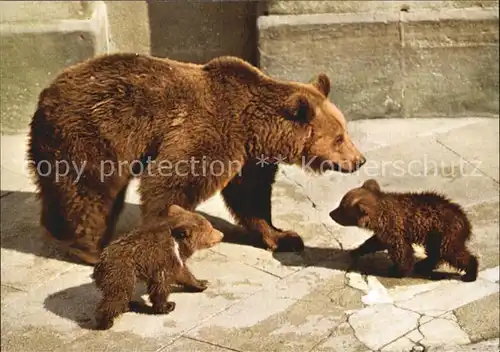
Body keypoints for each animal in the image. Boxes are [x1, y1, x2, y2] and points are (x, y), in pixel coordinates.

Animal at [26, 53, 364, 264]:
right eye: (339, 137)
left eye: (345, 130)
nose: (359, 160)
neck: (255, 129)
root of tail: (46, 92)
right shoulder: (209, 132)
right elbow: (169, 183)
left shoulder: (249, 159)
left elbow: (251, 198)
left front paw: (284, 236)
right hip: (93, 130)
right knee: (91, 188)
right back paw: (88, 247)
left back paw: (58, 230)